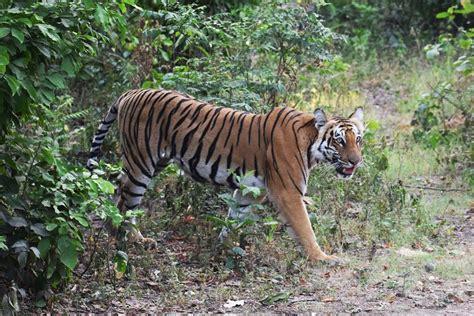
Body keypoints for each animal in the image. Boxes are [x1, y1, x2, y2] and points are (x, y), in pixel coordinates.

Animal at [87, 88, 364, 262]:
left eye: (358, 140)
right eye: (339, 141)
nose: (356, 161)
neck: (310, 144)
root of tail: (131, 92)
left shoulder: (252, 190)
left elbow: (235, 218)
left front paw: (225, 248)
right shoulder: (288, 193)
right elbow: (305, 228)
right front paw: (323, 258)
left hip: (155, 163)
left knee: (119, 190)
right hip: (141, 163)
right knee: (125, 201)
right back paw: (127, 239)